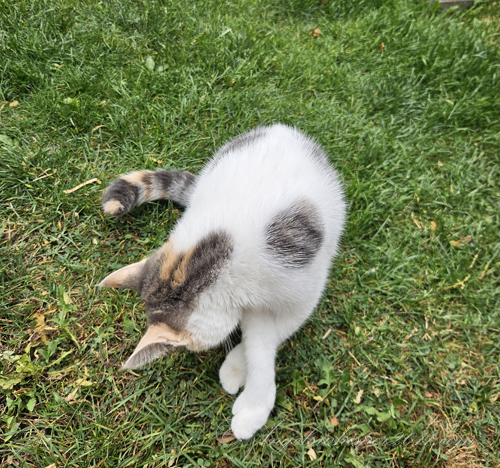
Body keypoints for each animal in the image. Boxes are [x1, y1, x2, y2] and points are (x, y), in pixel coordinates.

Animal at [98, 124, 347, 439]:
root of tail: (282, 129)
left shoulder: (300, 291)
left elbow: (267, 338)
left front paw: (250, 402)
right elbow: (258, 337)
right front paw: (245, 380)